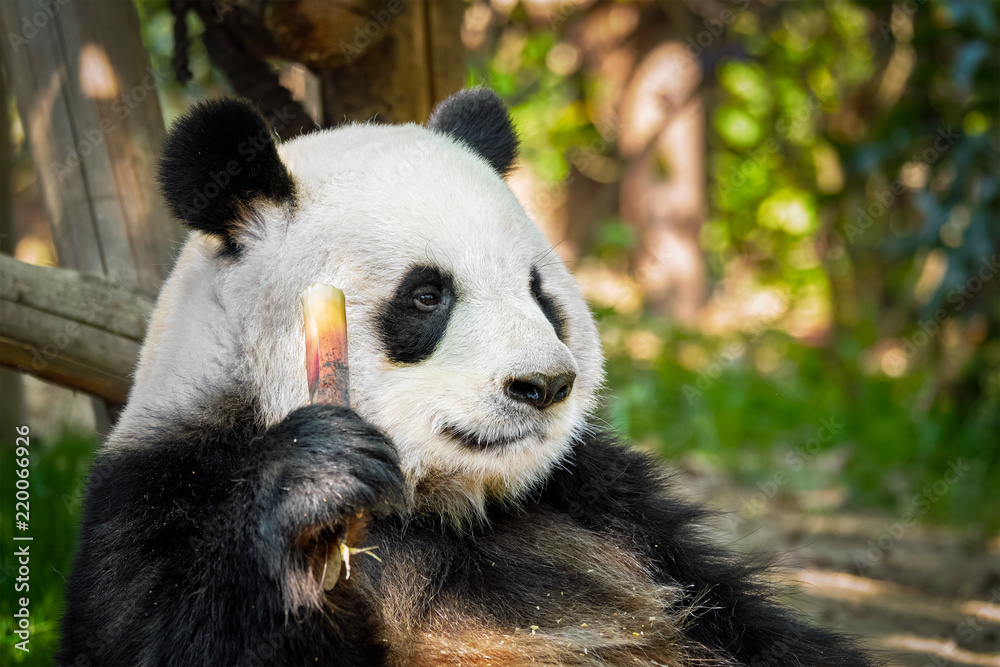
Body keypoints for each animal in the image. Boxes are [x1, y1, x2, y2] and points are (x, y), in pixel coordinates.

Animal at [59, 90, 877, 667]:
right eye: (427, 295)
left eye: (538, 291)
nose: (543, 386)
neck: (438, 506)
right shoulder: (161, 493)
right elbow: (155, 635)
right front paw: (318, 476)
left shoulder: (610, 504)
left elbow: (747, 622)